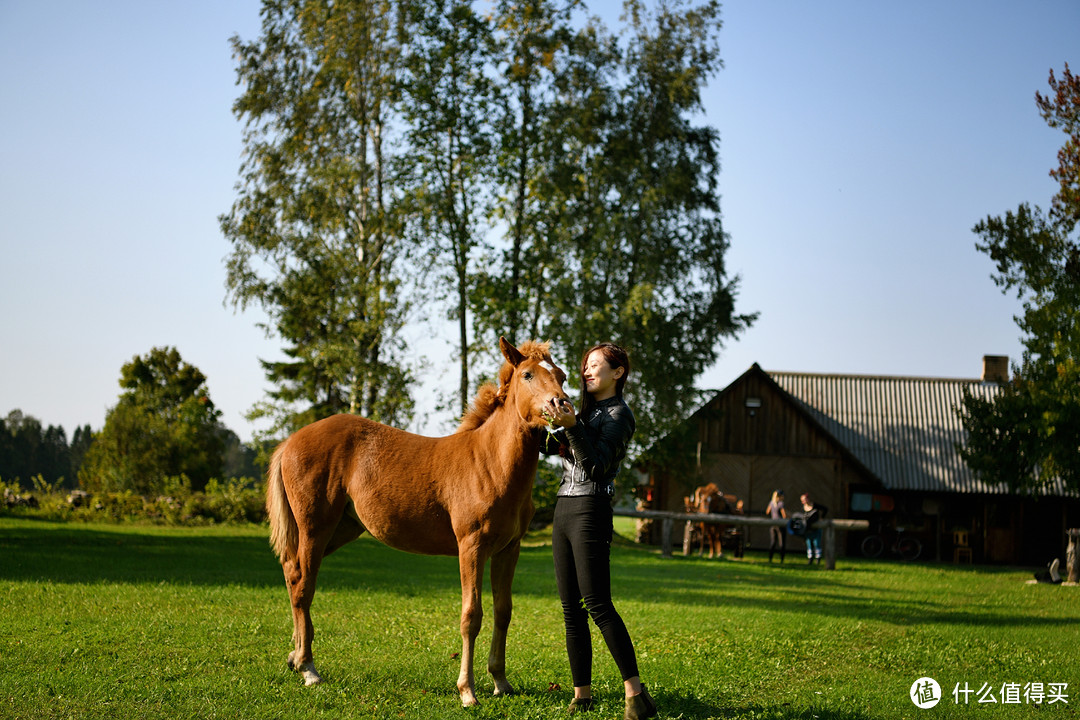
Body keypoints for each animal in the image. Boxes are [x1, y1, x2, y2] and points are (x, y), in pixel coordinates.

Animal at [265, 341, 570, 708]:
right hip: (315, 528)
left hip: (341, 529)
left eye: (561, 375)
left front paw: (500, 681)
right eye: (527, 374)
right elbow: (472, 615)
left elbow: (503, 611)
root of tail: (290, 441)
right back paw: (309, 668)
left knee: (292, 571)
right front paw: (467, 691)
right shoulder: (471, 546)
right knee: (303, 587)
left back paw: (295, 657)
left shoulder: (509, 549)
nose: (562, 405)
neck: (491, 462)